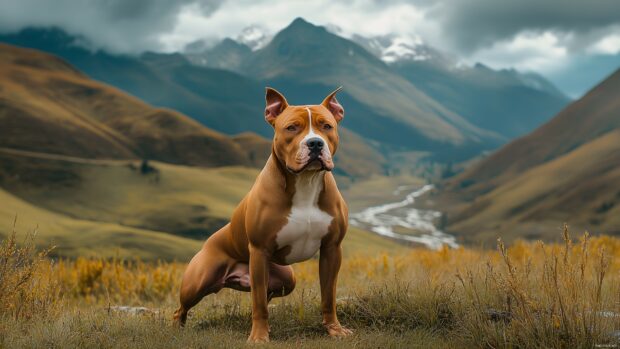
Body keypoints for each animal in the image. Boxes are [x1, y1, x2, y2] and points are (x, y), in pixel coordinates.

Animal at [174, 85, 352, 342]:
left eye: (326, 126)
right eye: (292, 127)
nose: (315, 143)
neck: (305, 182)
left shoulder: (331, 249)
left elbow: (329, 295)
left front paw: (334, 329)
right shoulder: (259, 252)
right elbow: (258, 302)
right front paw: (259, 336)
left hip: (286, 279)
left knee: (267, 294)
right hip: (198, 281)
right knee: (181, 308)